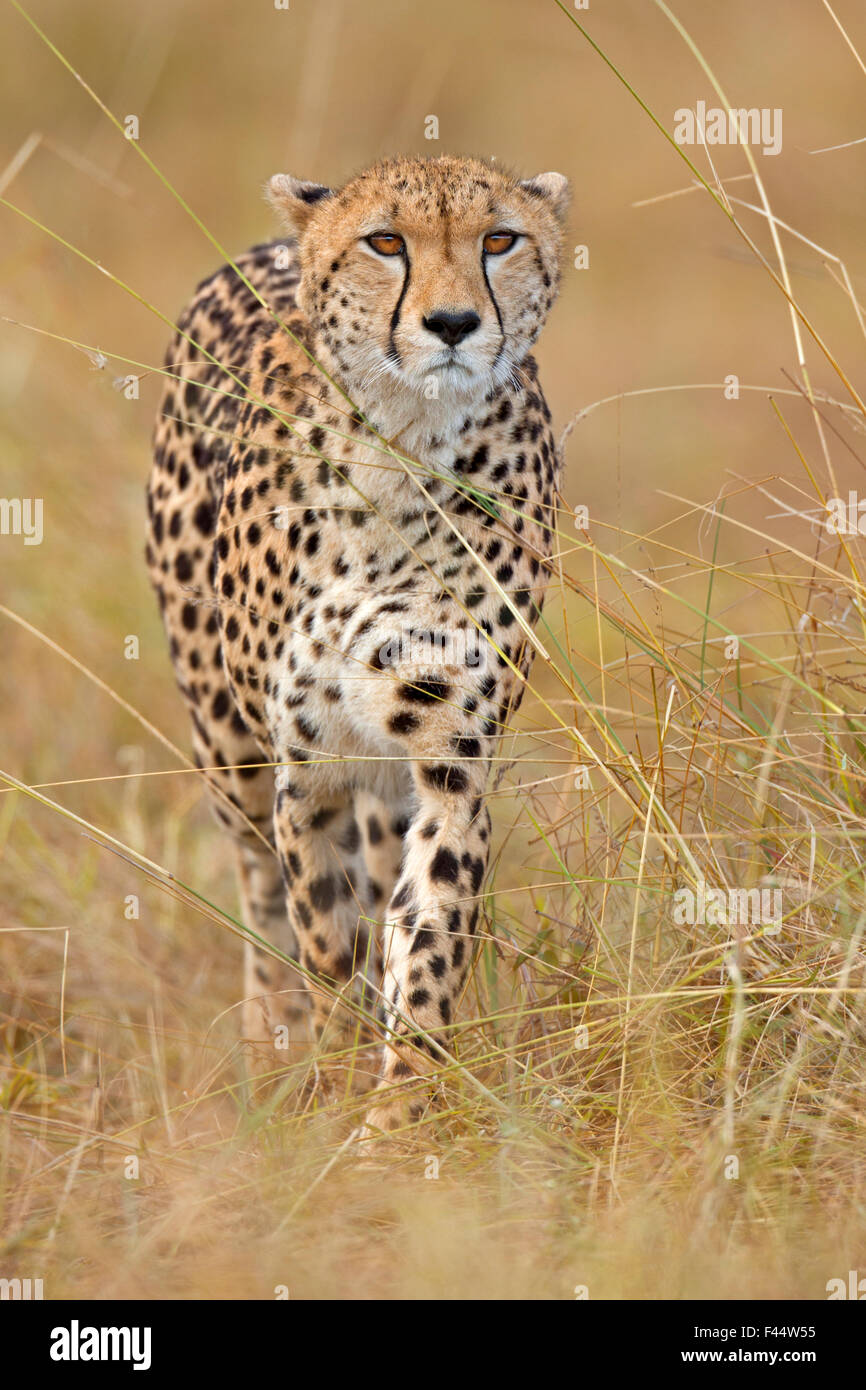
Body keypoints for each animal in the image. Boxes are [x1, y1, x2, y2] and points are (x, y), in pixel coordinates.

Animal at [147, 154, 569, 1139]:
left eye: (501, 239)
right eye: (385, 241)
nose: (452, 324)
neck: (403, 446)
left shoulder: (450, 758)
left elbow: (425, 935)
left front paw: (399, 1113)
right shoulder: (311, 766)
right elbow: (324, 937)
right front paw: (334, 1081)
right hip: (226, 744)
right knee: (259, 889)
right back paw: (274, 1043)